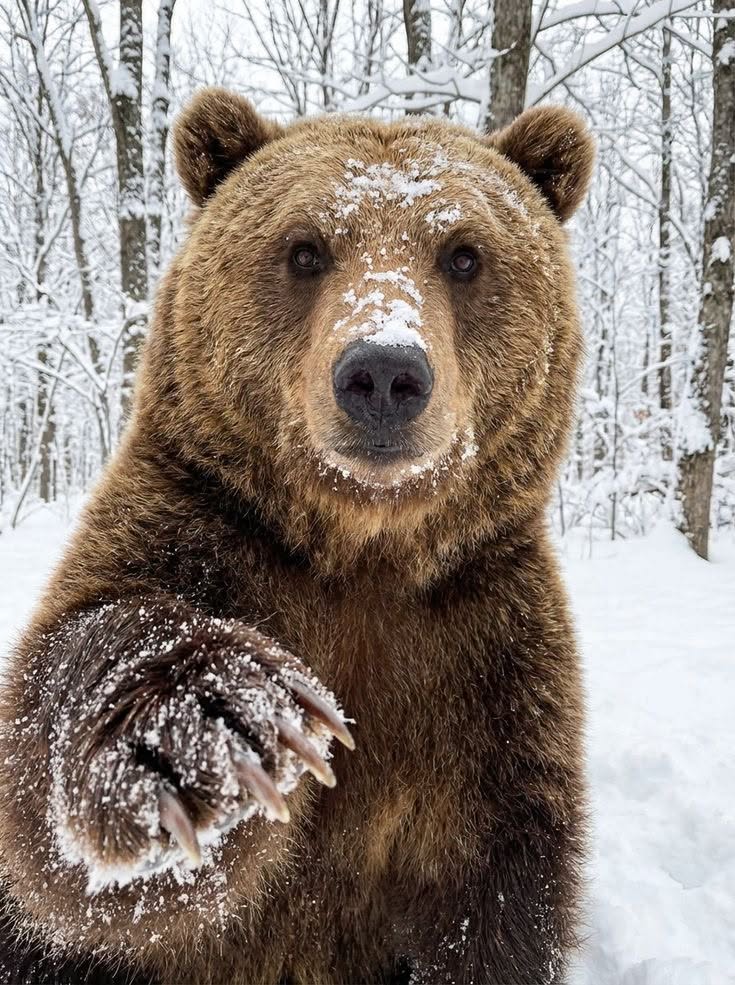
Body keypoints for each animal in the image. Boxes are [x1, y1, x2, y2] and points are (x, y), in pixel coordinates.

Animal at [0, 88, 594, 985]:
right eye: (306, 248)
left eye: (463, 255)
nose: (383, 371)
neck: (361, 549)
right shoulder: (203, 532)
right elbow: (64, 853)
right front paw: (207, 724)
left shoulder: (483, 665)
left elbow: (494, 900)